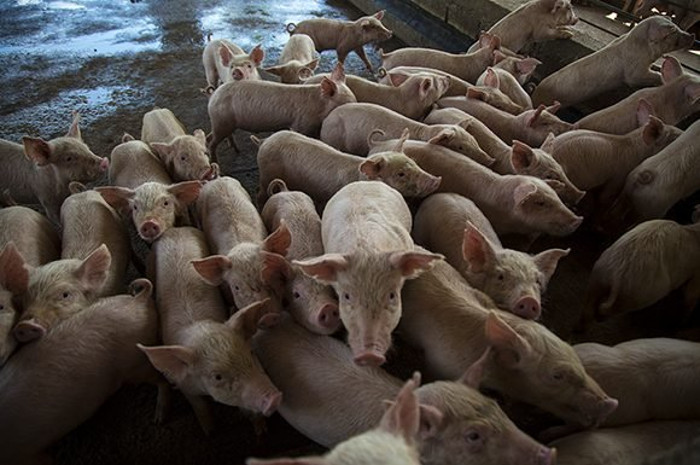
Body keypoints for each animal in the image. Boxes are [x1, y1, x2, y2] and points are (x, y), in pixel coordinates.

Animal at [140, 226, 282, 434]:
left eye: (251, 353)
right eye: (217, 377)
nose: (274, 398)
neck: (201, 329)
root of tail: (176, 229)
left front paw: (262, 431)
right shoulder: (186, 387)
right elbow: (201, 409)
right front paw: (210, 432)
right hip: (150, 264)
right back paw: (159, 421)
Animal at [207, 63, 356, 161]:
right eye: (347, 102)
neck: (319, 107)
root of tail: (214, 96)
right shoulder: (301, 124)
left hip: (224, 123)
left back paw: (237, 150)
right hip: (221, 120)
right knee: (212, 143)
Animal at [255, 130, 441, 207]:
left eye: (414, 162)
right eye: (400, 174)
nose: (436, 179)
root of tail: (265, 141)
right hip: (265, 175)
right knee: (260, 193)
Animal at [532, 16, 695, 108]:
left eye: (678, 27)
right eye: (672, 32)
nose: (692, 36)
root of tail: (536, 94)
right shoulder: (634, 70)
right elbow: (636, 78)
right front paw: (660, 77)